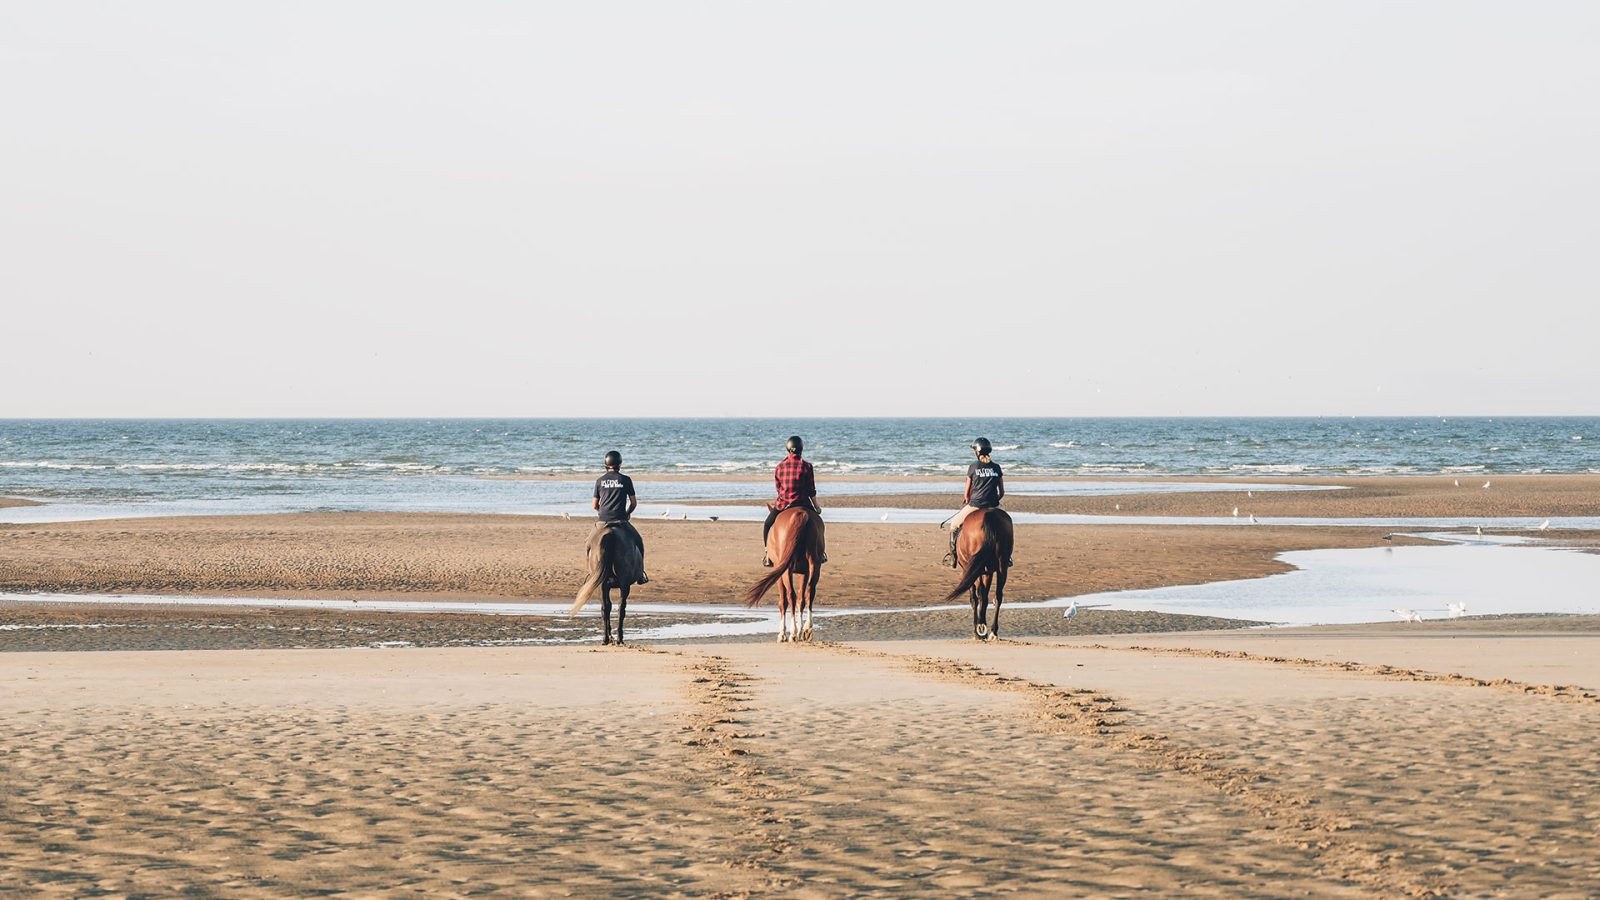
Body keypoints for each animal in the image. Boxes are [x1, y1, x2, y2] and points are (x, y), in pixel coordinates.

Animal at [745, 506, 832, 637]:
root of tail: (801, 513)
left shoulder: (779, 572)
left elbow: (782, 602)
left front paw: (782, 634)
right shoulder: (804, 572)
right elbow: (801, 600)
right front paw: (801, 628)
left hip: (786, 570)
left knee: (791, 595)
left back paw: (794, 632)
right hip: (814, 564)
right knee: (809, 591)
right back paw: (807, 628)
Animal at [934, 509, 1011, 640]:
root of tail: (989, 515)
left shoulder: (968, 571)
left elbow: (974, 598)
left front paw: (977, 631)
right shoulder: (988, 572)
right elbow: (984, 597)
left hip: (976, 569)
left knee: (980, 595)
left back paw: (981, 629)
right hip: (1002, 566)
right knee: (997, 596)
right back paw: (993, 632)